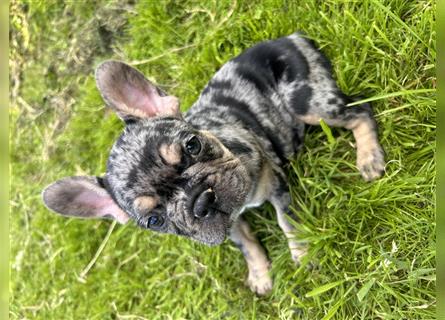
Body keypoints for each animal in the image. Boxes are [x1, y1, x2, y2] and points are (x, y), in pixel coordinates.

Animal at [41, 32, 384, 296]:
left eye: (193, 145)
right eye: (154, 221)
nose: (200, 200)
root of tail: (288, 39)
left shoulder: (276, 183)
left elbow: (288, 220)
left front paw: (302, 252)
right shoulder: (227, 224)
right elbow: (246, 243)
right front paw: (259, 274)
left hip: (306, 102)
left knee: (359, 112)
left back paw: (368, 158)